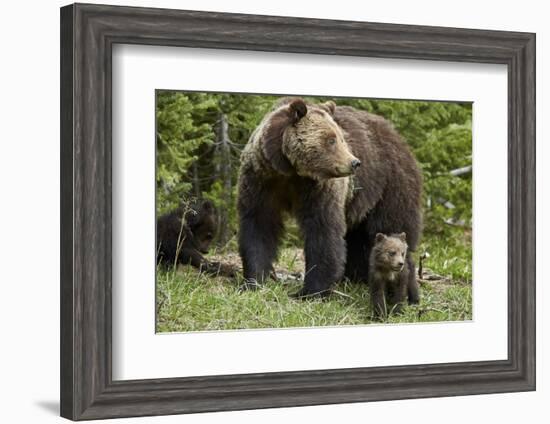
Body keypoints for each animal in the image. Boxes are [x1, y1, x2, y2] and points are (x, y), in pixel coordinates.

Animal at [237, 97, 422, 302]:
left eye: (341, 138)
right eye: (331, 140)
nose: (355, 162)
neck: (290, 171)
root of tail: (399, 137)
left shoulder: (319, 188)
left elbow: (323, 231)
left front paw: (310, 292)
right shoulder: (261, 179)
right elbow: (259, 225)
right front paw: (253, 281)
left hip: (390, 186)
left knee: (391, 228)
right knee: (358, 238)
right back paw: (356, 277)